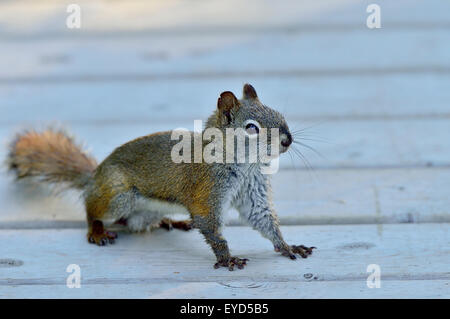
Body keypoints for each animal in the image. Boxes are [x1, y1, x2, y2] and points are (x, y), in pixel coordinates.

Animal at [7, 84, 316, 272]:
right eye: (251, 128)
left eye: (279, 115)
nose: (287, 140)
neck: (245, 166)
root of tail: (94, 177)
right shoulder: (206, 191)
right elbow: (211, 227)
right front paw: (227, 258)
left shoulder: (252, 194)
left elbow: (263, 220)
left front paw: (288, 246)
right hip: (118, 195)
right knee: (94, 210)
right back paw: (97, 230)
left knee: (133, 223)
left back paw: (170, 221)